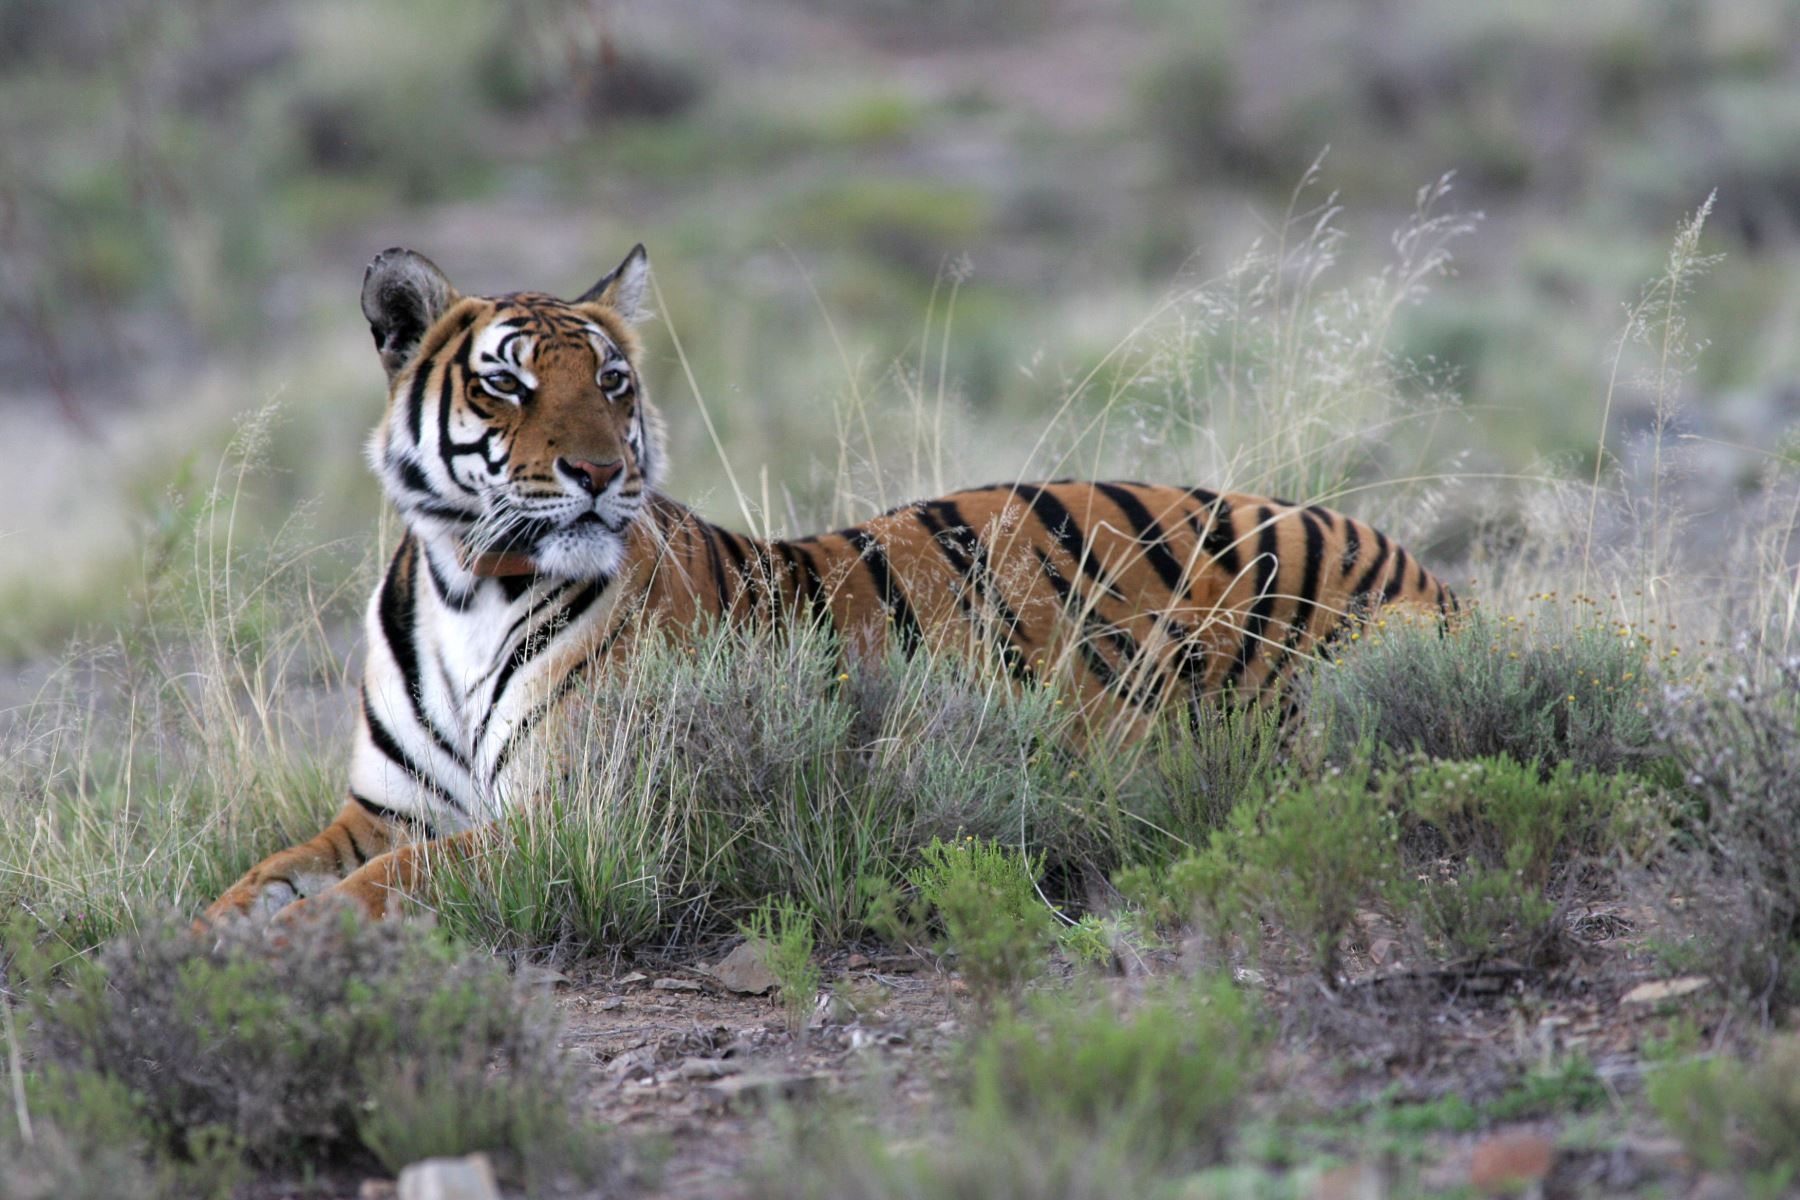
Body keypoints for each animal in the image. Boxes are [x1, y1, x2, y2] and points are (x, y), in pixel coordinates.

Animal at [204, 241, 1454, 921]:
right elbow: (268, 874)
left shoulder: (584, 815)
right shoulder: (382, 811)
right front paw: (202, 935)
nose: (601, 473)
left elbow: (382, 889)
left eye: (611, 382)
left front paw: (280, 946)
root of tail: (1411, 559)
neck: (471, 581)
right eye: (506, 385)